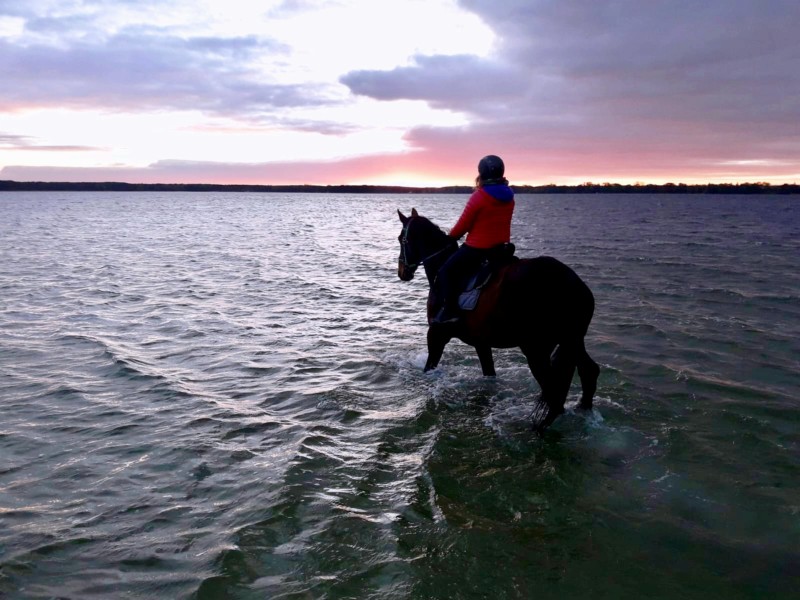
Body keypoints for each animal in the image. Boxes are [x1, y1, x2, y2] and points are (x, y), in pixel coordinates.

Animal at [397, 208, 600, 430]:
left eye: (401, 239)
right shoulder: (481, 342)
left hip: (536, 349)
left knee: (553, 394)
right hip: (572, 341)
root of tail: (573, 284)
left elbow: (429, 367)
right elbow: (489, 372)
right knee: (589, 372)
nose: (402, 272)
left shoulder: (436, 334)